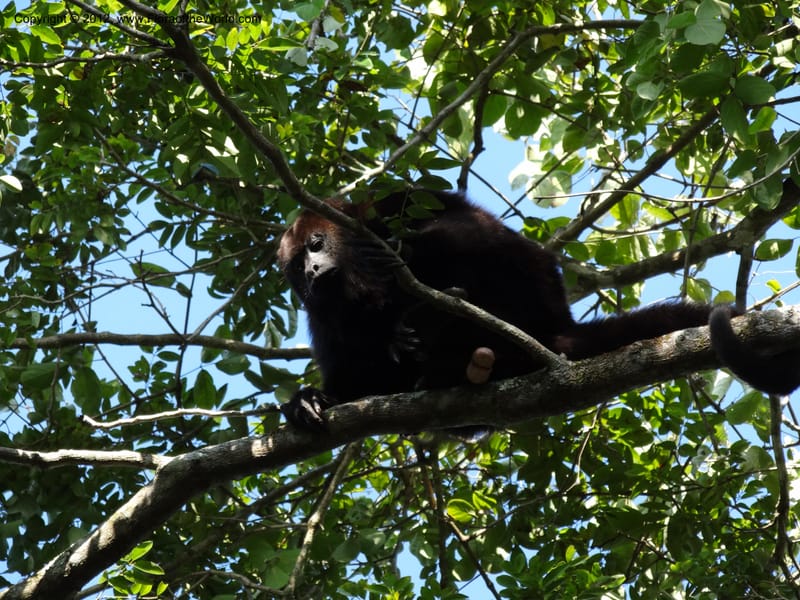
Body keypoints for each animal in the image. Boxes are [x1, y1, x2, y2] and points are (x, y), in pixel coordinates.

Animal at [276, 188, 747, 432]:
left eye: (315, 244)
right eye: (296, 269)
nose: (313, 273)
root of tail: (556, 327)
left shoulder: (388, 202)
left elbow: (458, 221)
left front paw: (398, 252)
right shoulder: (324, 321)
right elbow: (354, 384)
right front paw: (308, 400)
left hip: (531, 292)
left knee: (473, 241)